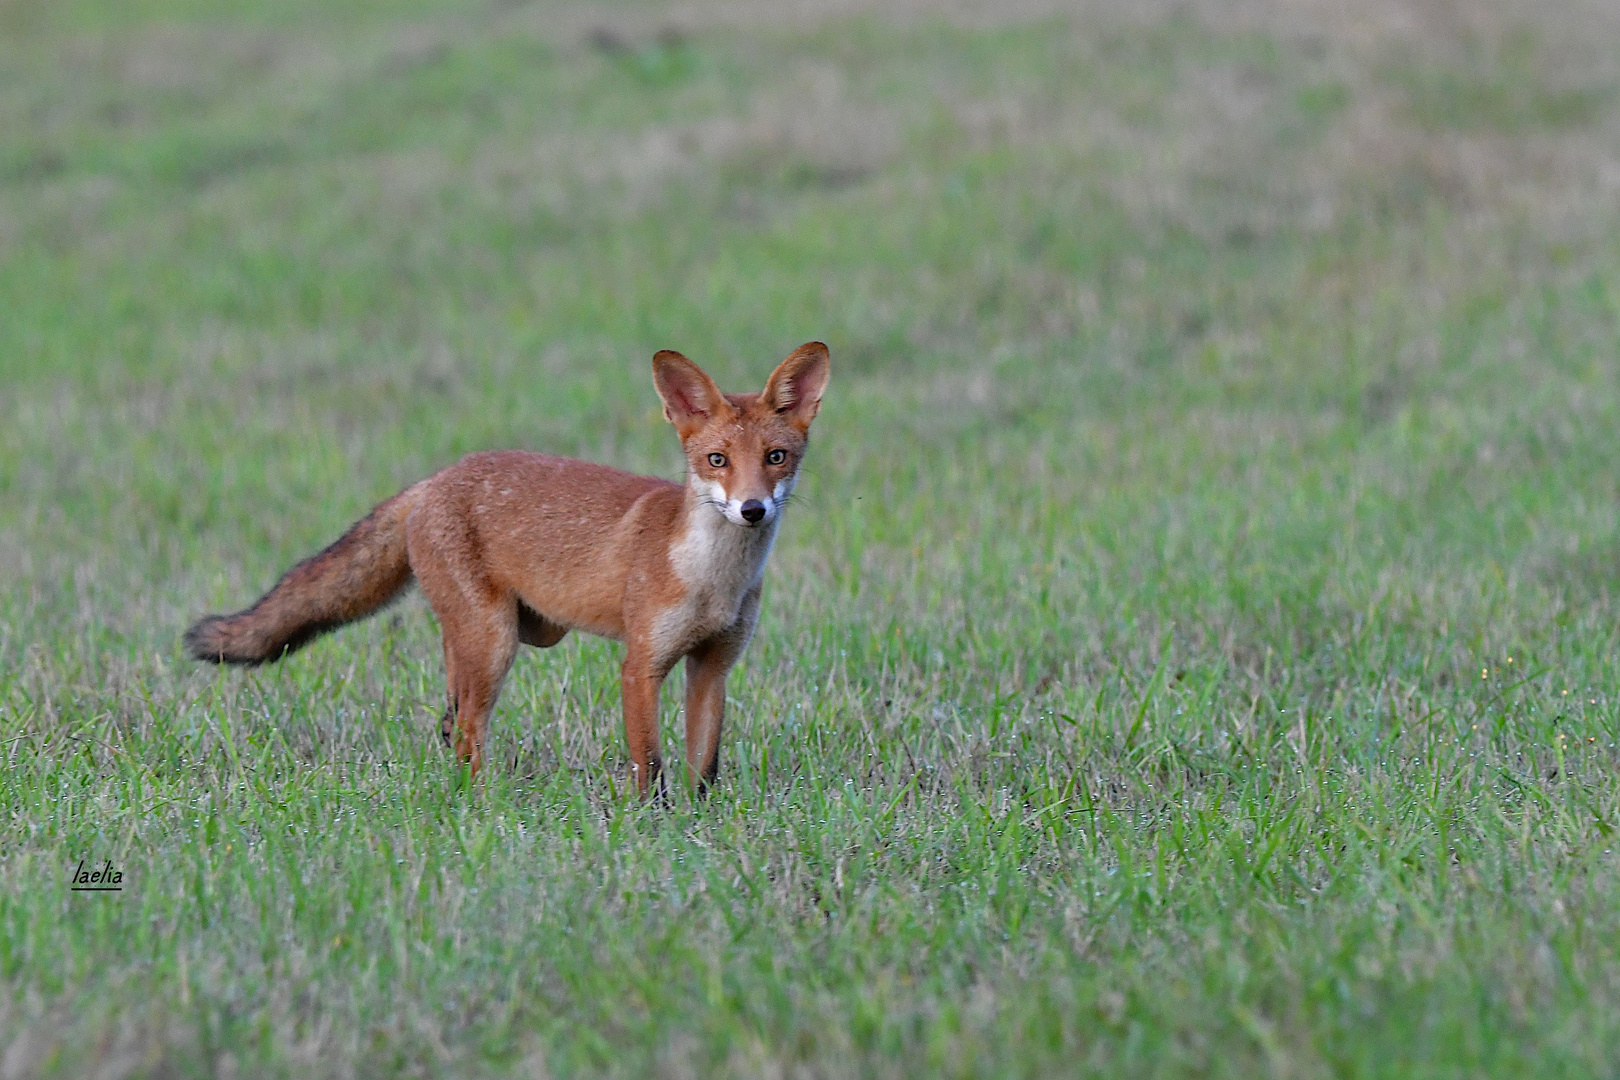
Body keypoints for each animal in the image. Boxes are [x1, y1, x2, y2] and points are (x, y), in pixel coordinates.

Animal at [183, 341, 829, 799]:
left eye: (776, 458)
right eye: (717, 460)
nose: (752, 509)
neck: (713, 583)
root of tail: (434, 479)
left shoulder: (713, 667)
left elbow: (704, 768)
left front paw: (699, 826)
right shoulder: (640, 666)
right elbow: (650, 765)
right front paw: (653, 827)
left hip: (511, 634)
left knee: (449, 722)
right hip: (495, 642)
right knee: (468, 729)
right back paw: (481, 805)